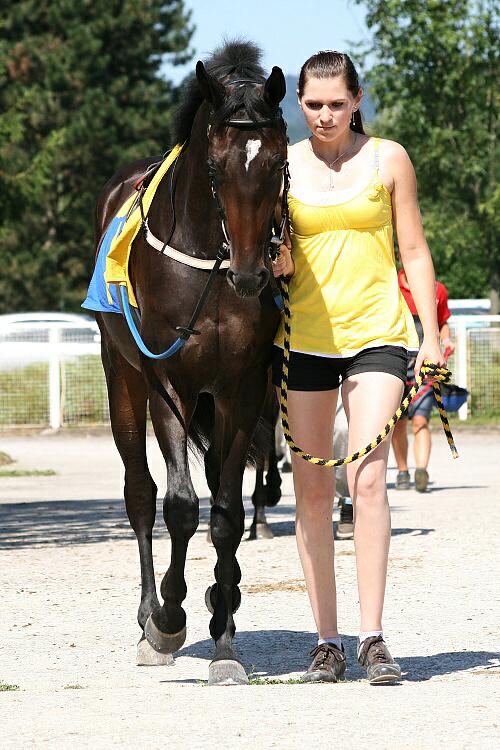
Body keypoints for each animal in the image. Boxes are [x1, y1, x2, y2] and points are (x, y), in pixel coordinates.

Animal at [93, 41, 288, 688]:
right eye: (216, 167)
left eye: (277, 162)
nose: (253, 274)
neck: (210, 263)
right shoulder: (168, 383)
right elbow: (178, 505)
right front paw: (168, 622)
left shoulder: (240, 388)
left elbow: (225, 511)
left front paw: (223, 637)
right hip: (122, 378)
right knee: (140, 492)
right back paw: (148, 614)